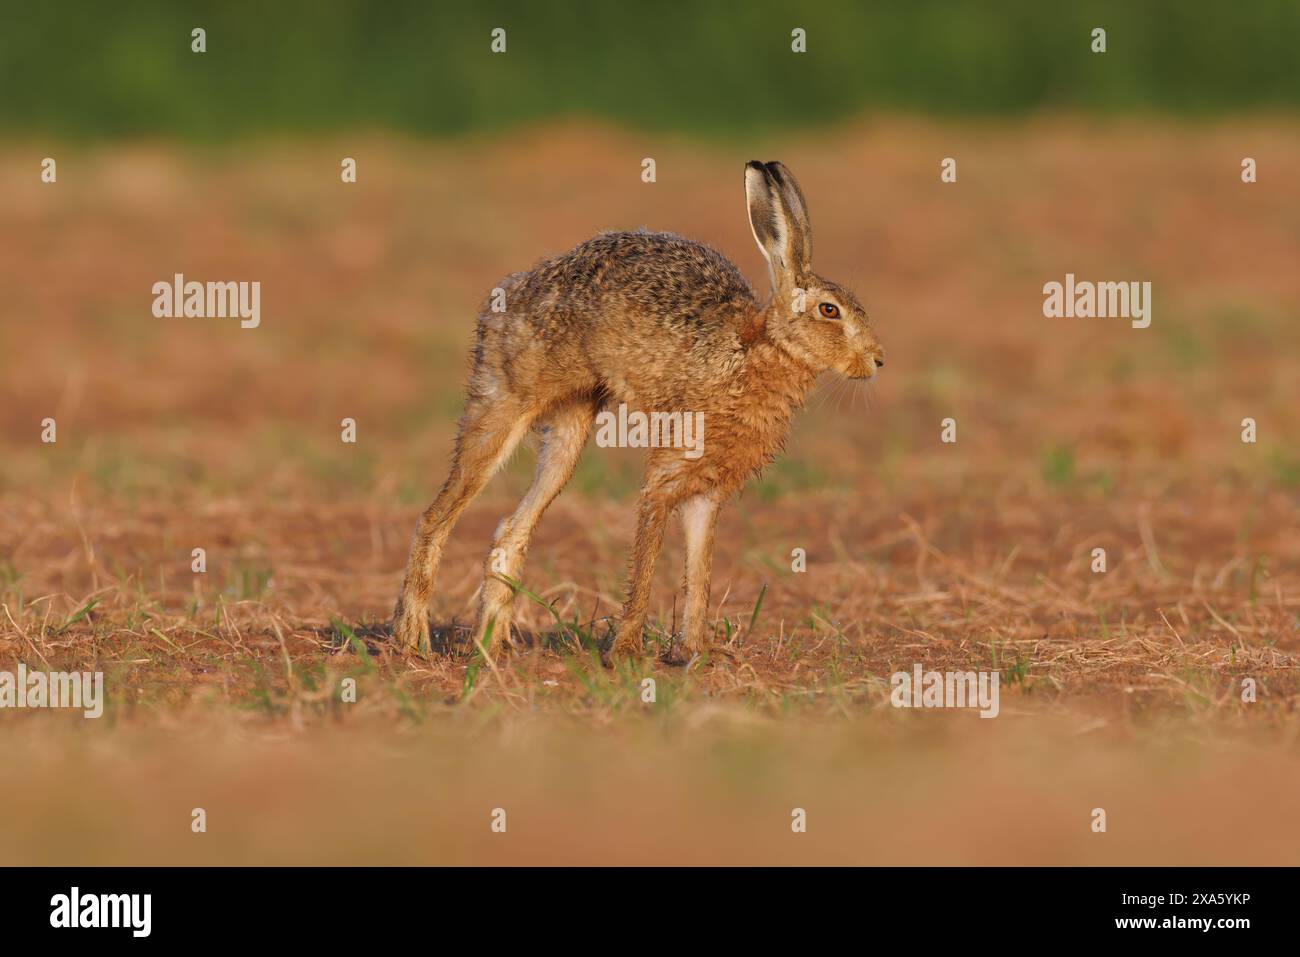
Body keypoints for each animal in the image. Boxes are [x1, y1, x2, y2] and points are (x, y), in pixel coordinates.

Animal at [393, 161, 884, 663]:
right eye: (830, 310)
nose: (876, 361)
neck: (753, 351)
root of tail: (509, 292)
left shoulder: (708, 491)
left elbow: (700, 572)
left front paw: (695, 652)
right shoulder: (670, 470)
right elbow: (647, 554)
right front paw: (626, 650)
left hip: (571, 428)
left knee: (512, 528)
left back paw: (492, 646)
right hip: (504, 402)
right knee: (436, 517)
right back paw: (413, 639)